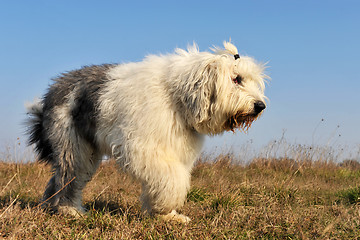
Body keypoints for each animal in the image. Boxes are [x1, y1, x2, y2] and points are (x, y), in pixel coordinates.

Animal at [25, 40, 268, 222]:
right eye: (236, 79)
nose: (260, 106)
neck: (176, 95)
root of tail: (53, 90)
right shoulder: (143, 147)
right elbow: (171, 176)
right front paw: (165, 209)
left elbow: (171, 177)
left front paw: (168, 215)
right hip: (72, 144)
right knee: (69, 176)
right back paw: (70, 210)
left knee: (59, 178)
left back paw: (50, 206)